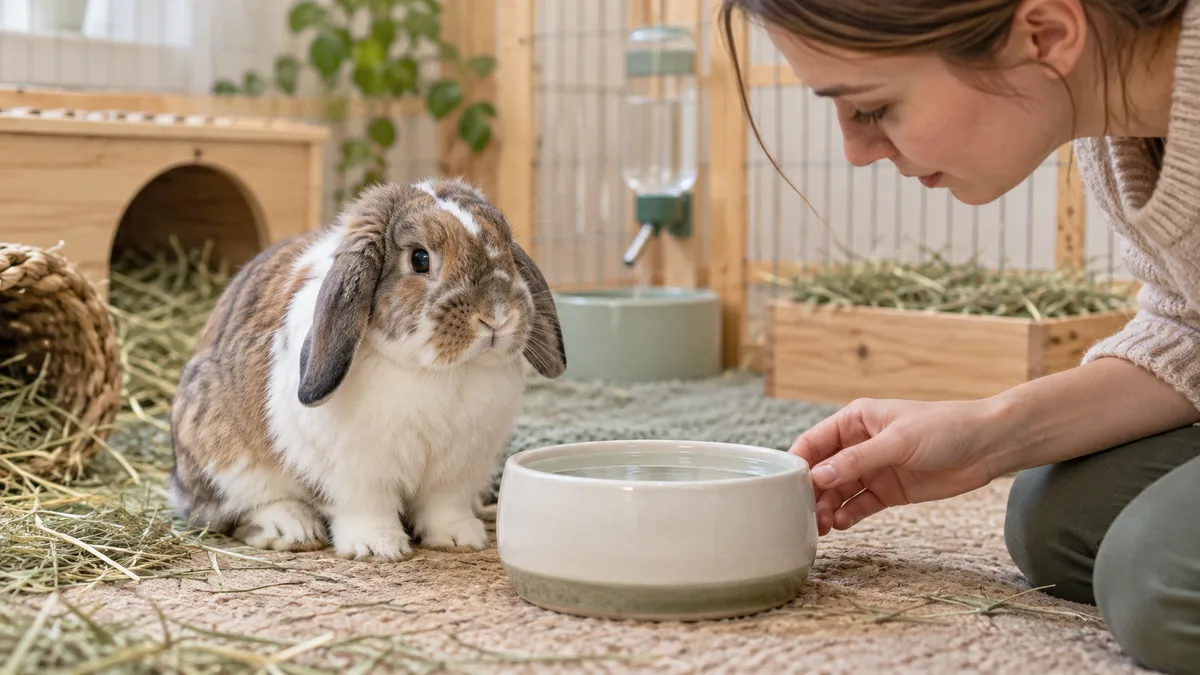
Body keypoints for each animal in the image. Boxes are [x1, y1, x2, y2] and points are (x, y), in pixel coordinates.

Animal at [167, 177, 566, 560]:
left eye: (507, 245)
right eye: (419, 259)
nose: (497, 316)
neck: (438, 372)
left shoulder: (454, 473)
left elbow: (443, 507)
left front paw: (460, 539)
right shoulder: (356, 474)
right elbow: (365, 509)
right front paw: (378, 548)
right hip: (227, 459)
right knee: (240, 510)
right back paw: (292, 530)